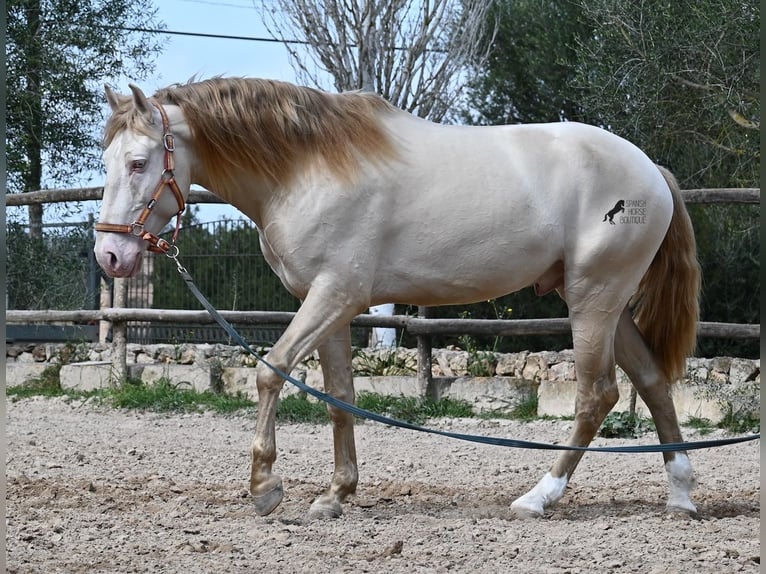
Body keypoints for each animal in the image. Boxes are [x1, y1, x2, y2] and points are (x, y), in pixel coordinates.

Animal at [94, 77, 704, 520]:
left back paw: (539, 497)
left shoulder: (336, 295)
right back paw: (681, 496)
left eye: (138, 162)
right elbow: (339, 395)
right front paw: (335, 495)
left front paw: (265, 486)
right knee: (652, 382)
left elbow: (272, 371)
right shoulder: (331, 306)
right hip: (607, 303)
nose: (110, 256)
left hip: (592, 299)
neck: (307, 167)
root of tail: (651, 171)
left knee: (596, 395)